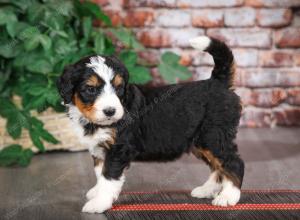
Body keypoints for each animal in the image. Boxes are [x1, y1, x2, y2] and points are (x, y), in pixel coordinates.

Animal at [57, 36, 245, 213]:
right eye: (91, 89)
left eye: (118, 87)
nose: (110, 111)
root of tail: (218, 82)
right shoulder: (99, 149)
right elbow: (100, 174)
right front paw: (97, 192)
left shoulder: (118, 149)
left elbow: (108, 178)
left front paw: (99, 203)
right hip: (201, 142)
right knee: (217, 167)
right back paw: (207, 190)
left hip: (214, 137)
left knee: (234, 163)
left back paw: (228, 197)